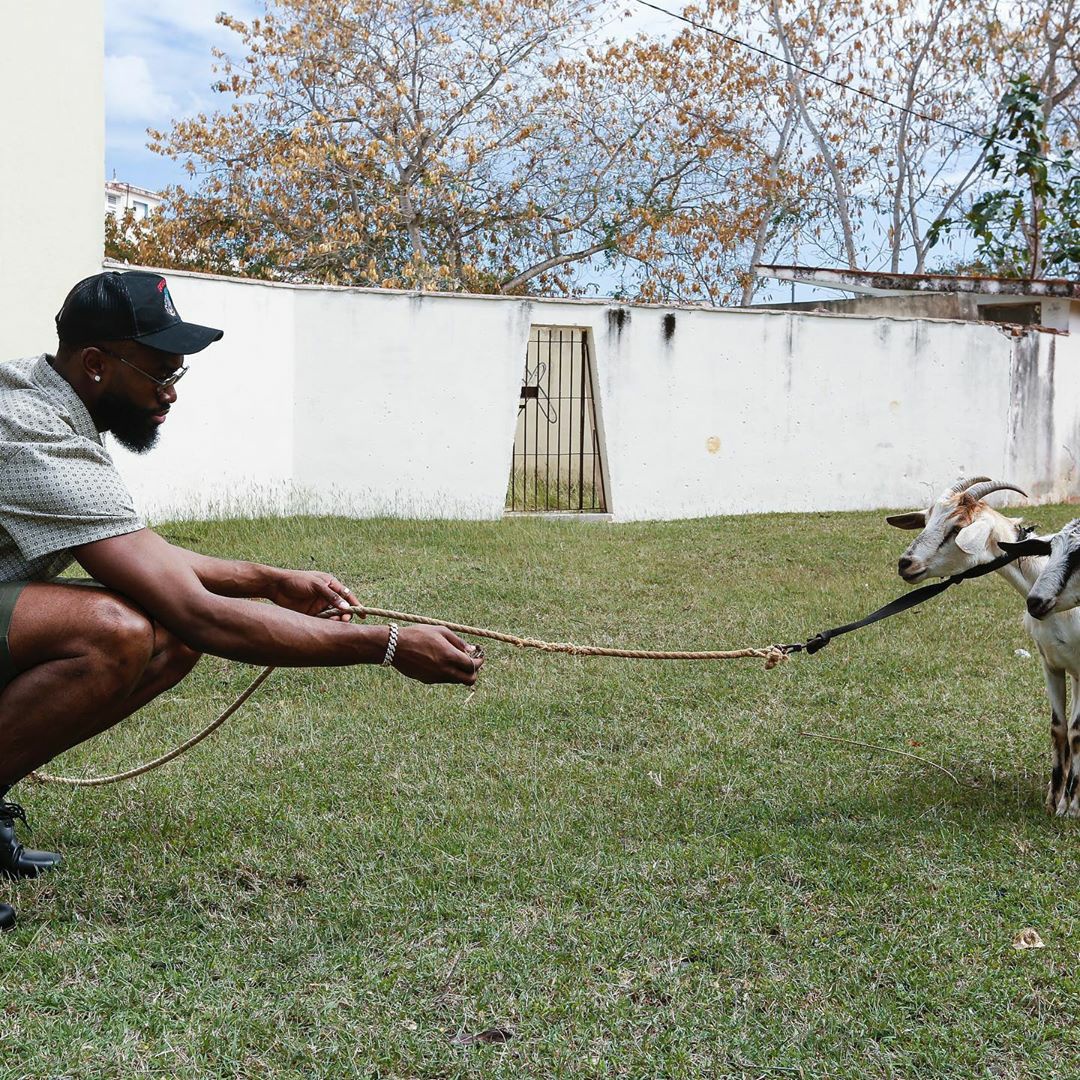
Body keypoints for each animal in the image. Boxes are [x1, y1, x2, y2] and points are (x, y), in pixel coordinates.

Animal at [885, 477, 1080, 812]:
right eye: (927, 520)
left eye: (956, 527)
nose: (905, 564)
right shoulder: (1051, 662)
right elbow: (1059, 729)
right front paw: (1054, 800)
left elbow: (1078, 732)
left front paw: (1072, 806)